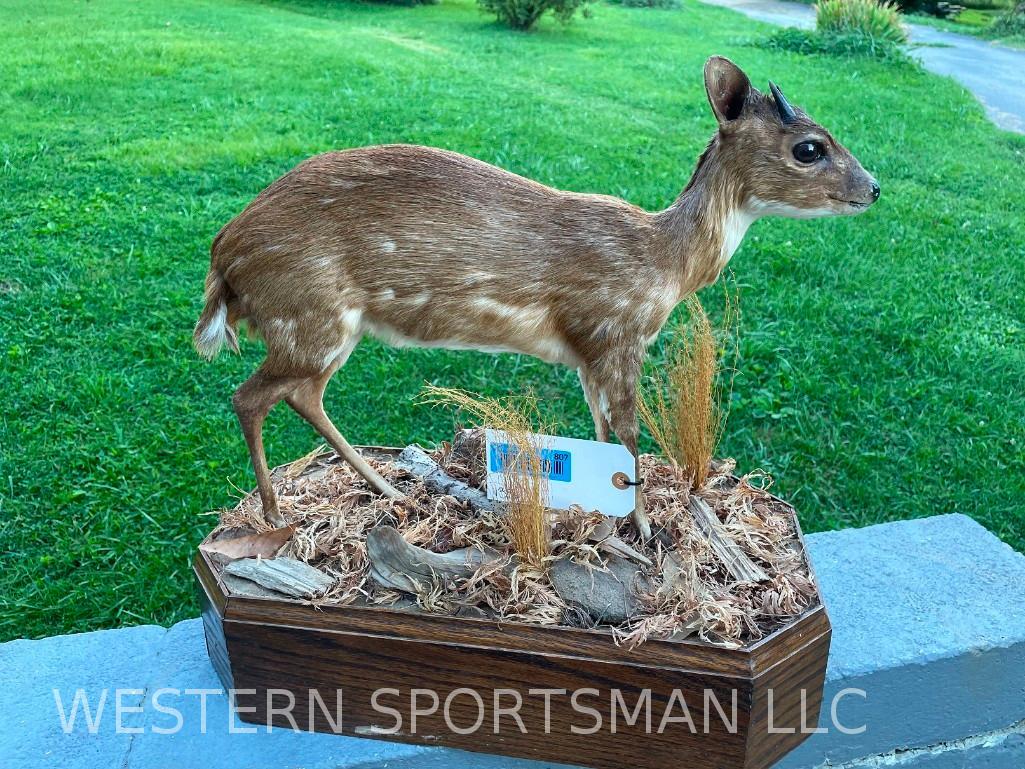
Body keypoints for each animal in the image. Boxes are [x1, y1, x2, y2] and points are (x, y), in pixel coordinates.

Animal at [193, 57, 879, 538]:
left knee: (301, 395)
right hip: (308, 312)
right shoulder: (616, 331)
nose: (873, 188)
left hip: (328, 328)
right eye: (810, 147)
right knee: (250, 396)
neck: (665, 263)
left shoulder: (589, 355)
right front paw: (646, 528)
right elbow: (629, 435)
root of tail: (222, 256)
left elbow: (603, 434)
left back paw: (389, 492)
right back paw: (276, 516)